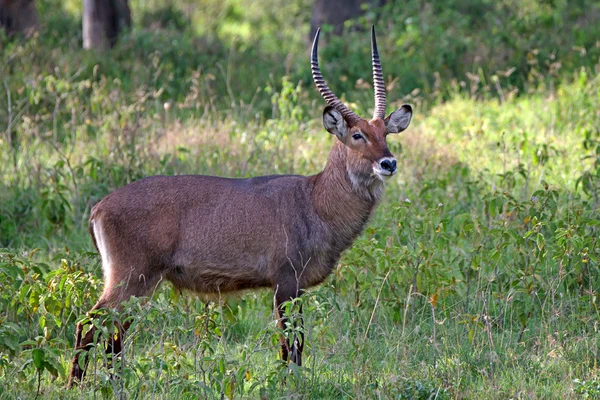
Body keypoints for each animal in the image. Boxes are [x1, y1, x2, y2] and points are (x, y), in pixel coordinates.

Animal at [67, 25, 412, 388]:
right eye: (358, 135)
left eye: (385, 133)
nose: (388, 163)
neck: (315, 199)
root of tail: (99, 207)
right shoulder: (285, 280)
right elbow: (290, 343)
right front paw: (289, 386)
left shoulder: (298, 286)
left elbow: (297, 341)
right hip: (132, 277)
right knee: (90, 323)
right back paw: (77, 385)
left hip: (139, 282)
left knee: (112, 332)